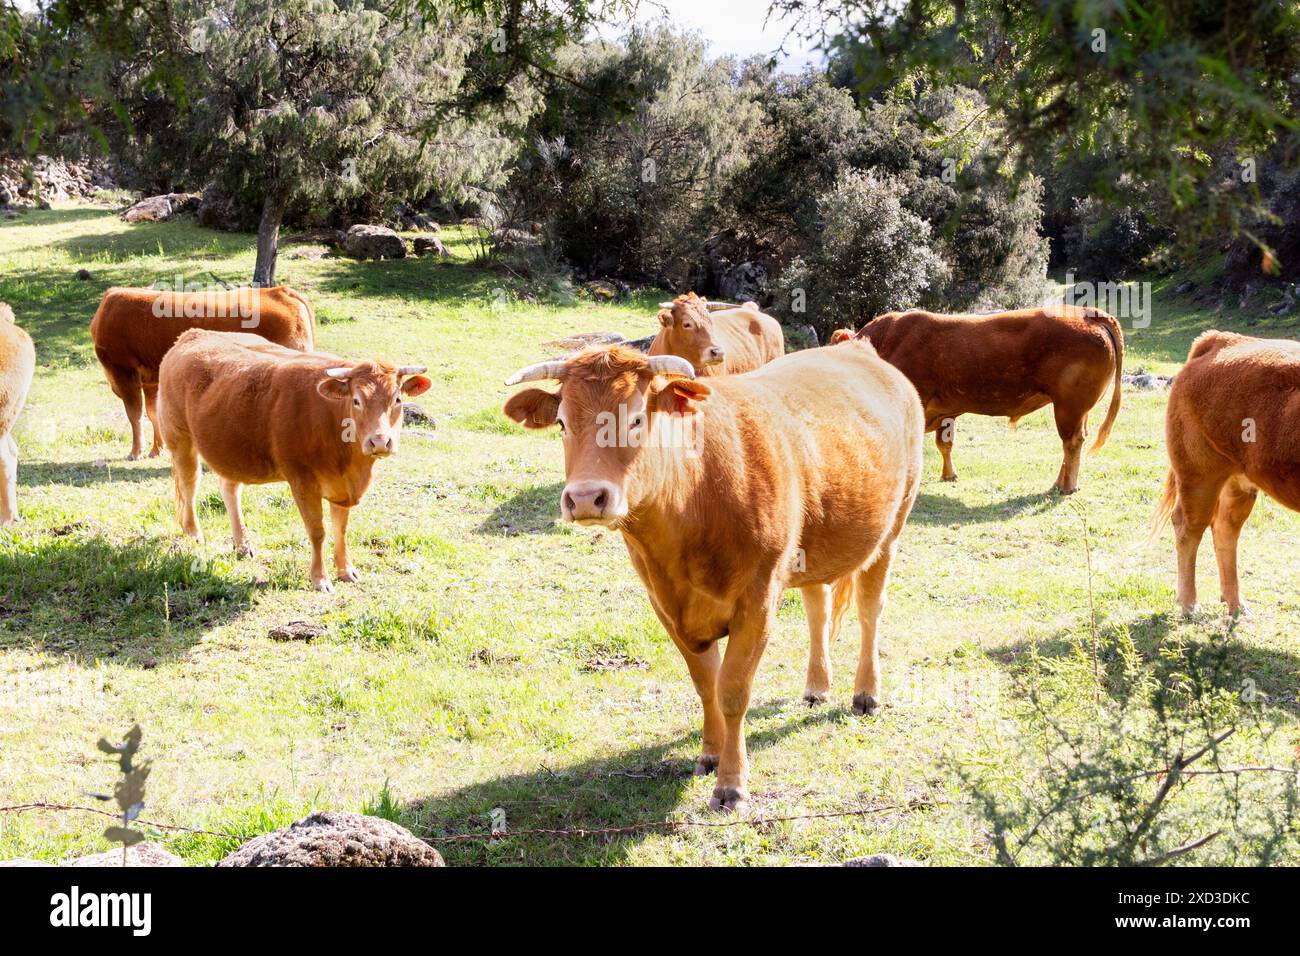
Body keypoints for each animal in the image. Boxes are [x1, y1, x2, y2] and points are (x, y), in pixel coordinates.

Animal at [91, 285, 316, 460]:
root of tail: (279, 291)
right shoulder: (151, 380)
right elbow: (152, 413)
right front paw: (156, 450)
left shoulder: (123, 371)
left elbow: (134, 413)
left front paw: (135, 452)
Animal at [157, 329, 430, 592]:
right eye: (356, 400)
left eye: (397, 399)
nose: (380, 442)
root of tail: (191, 334)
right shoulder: (302, 480)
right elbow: (317, 531)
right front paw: (320, 579)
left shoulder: (343, 487)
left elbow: (340, 529)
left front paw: (346, 570)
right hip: (180, 438)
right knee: (189, 484)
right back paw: (193, 533)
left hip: (230, 450)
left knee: (229, 490)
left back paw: (243, 545)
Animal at [502, 342, 923, 813]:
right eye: (561, 423)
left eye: (636, 418)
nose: (586, 497)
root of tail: (856, 345)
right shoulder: (665, 605)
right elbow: (706, 684)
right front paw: (709, 754)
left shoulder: (758, 602)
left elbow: (733, 690)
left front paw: (731, 783)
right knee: (818, 605)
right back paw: (817, 687)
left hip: (891, 530)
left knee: (870, 611)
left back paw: (866, 693)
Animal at [833, 305, 1123, 493]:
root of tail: (1089, 313)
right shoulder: (946, 411)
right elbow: (944, 444)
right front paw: (949, 475)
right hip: (1078, 408)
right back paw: (1059, 483)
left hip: (1068, 406)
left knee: (1072, 442)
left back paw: (1067, 486)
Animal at [1151, 330, 1300, 616]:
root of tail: (1220, 339)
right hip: (1199, 475)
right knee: (1189, 529)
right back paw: (1190, 604)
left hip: (1237, 482)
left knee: (1224, 528)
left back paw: (1235, 602)